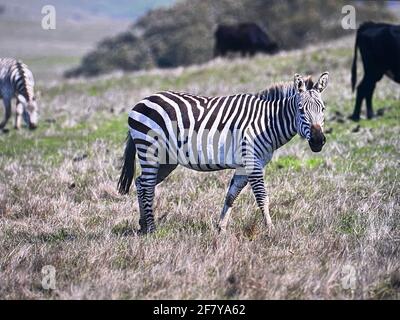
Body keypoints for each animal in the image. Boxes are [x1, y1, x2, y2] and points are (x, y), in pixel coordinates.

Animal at [118, 72, 328, 234]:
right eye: (301, 110)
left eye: (323, 109)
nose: (318, 141)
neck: (266, 122)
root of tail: (143, 101)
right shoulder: (252, 162)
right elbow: (262, 197)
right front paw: (271, 230)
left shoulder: (245, 166)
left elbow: (230, 196)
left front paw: (221, 228)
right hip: (150, 150)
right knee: (147, 186)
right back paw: (152, 229)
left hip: (166, 159)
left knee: (141, 183)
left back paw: (143, 225)